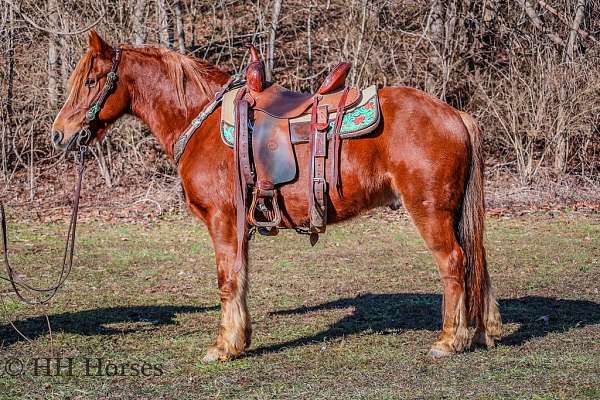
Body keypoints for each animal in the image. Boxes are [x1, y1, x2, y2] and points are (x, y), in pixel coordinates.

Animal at [52, 32, 502, 362]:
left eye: (90, 81)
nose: (59, 134)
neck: (200, 119)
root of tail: (455, 114)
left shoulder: (223, 220)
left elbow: (227, 278)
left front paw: (224, 346)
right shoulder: (240, 226)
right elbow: (240, 277)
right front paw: (240, 338)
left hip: (431, 212)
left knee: (453, 263)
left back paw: (450, 340)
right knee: (474, 261)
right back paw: (480, 330)